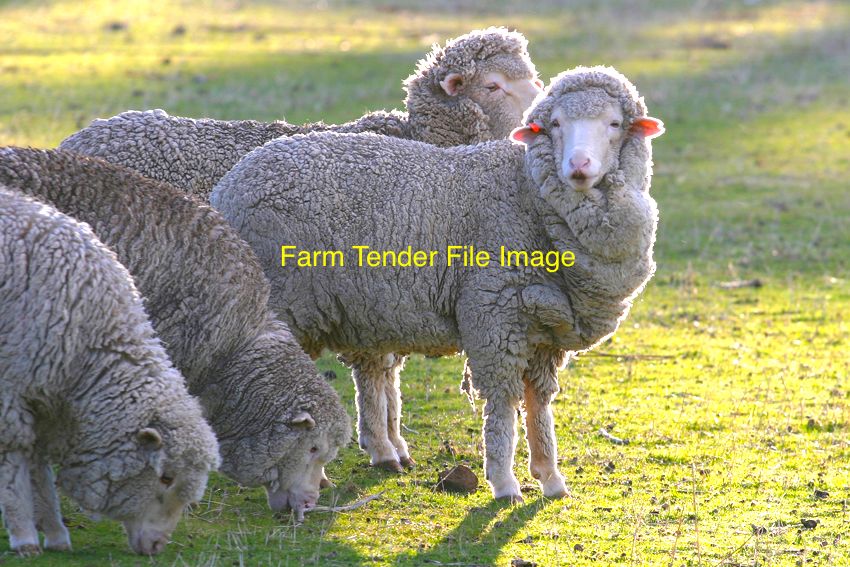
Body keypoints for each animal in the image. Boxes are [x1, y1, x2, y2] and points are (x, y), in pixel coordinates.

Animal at [0, 187, 219, 556]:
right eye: (165, 477)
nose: (157, 546)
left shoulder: (43, 395)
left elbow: (37, 467)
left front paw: (55, 532)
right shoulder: (10, 391)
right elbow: (15, 462)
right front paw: (24, 535)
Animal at [209, 65, 664, 501]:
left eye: (614, 123)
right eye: (554, 124)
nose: (579, 167)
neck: (527, 193)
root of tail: (227, 187)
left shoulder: (547, 330)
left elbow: (539, 404)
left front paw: (549, 476)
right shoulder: (493, 313)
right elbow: (502, 404)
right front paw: (504, 483)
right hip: (280, 304)